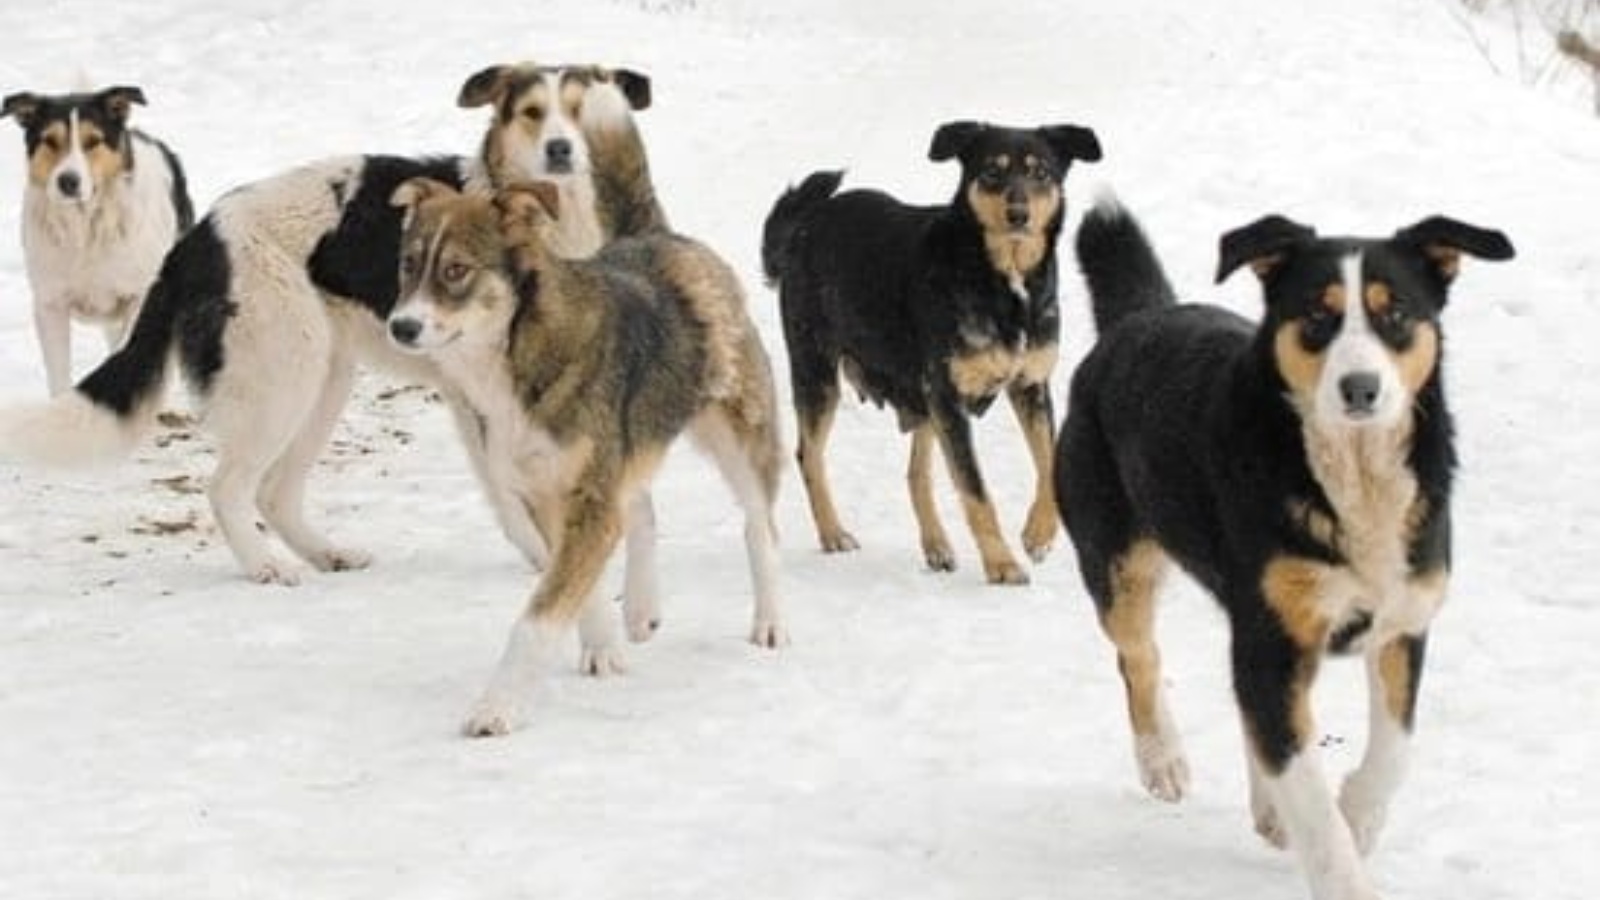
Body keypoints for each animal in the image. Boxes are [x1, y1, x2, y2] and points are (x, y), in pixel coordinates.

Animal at [2, 85, 195, 393]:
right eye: (50, 140)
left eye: (93, 141)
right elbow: (59, 377)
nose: (68, 181)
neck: (85, 227)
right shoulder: (50, 304)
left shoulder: (139, 295)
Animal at [387, 176, 787, 736]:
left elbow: (538, 617)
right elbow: (580, 583)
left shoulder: (591, 498)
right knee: (642, 508)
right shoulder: (545, 494)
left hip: (740, 434)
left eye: (455, 270)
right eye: (408, 263)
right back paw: (640, 607)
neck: (512, 355)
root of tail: (662, 238)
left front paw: (496, 708)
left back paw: (769, 621)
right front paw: (601, 647)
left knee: (759, 525)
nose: (400, 327)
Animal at [761, 119, 1100, 582]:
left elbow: (1048, 464)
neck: (1001, 278)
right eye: (992, 172)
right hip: (818, 371)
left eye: (1041, 172)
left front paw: (1038, 534)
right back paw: (833, 533)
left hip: (919, 395)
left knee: (916, 474)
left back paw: (936, 545)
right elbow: (975, 490)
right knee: (808, 455)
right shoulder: (950, 398)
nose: (1019, 214)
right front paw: (1001, 564)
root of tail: (803, 228)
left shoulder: (1030, 384)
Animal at [1062, 196, 1510, 896]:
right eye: (1318, 317)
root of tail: (1137, 318)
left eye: (1395, 314)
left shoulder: (1403, 618)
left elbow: (1394, 749)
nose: (1360, 388)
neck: (1353, 480)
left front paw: (1359, 815)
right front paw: (1341, 865)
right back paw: (1163, 759)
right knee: (1140, 658)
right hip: (1116, 561)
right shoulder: (1274, 636)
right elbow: (1310, 798)